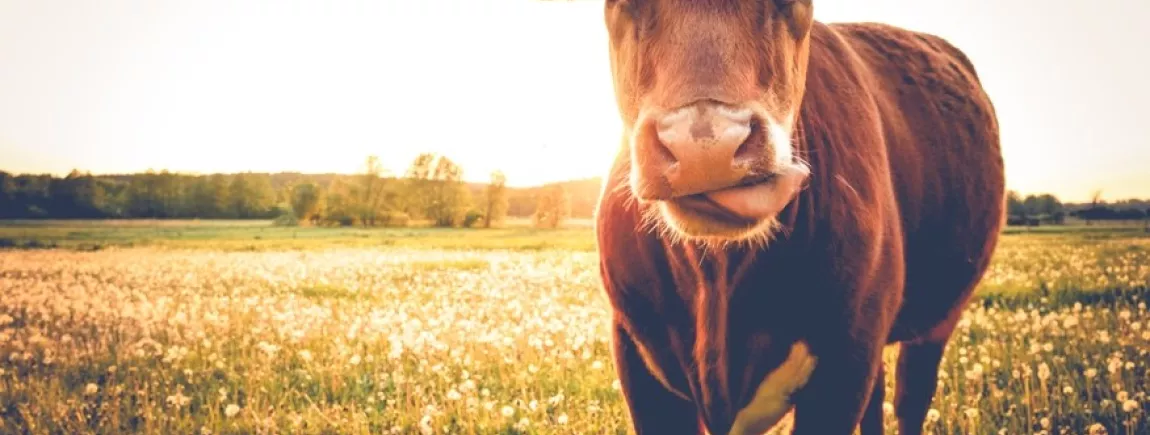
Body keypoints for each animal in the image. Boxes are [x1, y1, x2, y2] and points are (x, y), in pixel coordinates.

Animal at [598, 0, 1002, 435]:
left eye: (792, 5)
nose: (705, 147)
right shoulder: (635, 352)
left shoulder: (847, 357)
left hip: (937, 319)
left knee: (911, 397)